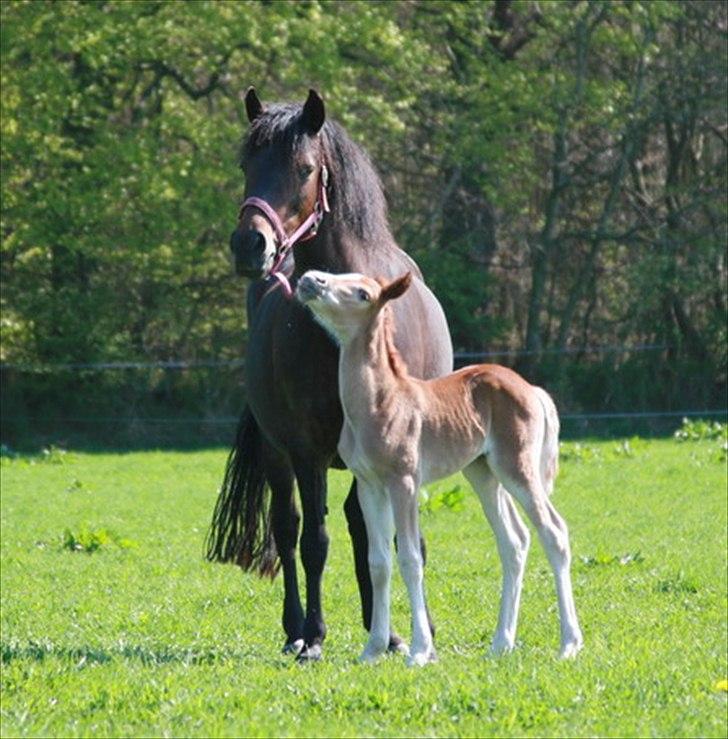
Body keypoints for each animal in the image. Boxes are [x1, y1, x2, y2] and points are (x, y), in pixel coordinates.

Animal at [205, 89, 452, 660]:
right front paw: (314, 635)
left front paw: (406, 632)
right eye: (246, 165)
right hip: (278, 454)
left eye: (304, 168)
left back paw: (381, 629)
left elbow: (396, 538)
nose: (249, 245)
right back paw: (296, 629)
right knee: (288, 526)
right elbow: (314, 541)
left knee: (361, 525)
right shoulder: (306, 450)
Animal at [292, 268, 584, 668]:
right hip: (483, 472)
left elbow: (410, 558)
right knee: (514, 541)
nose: (310, 279)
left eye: (364, 294)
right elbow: (378, 562)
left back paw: (569, 643)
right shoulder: (369, 486)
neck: (379, 404)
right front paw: (373, 649)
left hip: (517, 469)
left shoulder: (404, 482)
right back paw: (501, 643)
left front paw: (419, 650)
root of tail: (532, 390)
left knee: (553, 532)